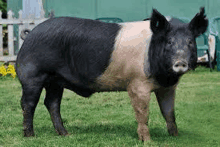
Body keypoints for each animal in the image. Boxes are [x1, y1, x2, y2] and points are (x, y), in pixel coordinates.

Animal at [15, 7, 208, 141]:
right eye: (168, 42)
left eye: (190, 42)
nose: (180, 62)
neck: (164, 76)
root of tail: (29, 35)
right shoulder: (137, 83)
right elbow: (143, 113)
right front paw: (148, 141)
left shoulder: (168, 88)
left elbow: (169, 112)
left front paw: (176, 137)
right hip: (32, 76)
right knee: (28, 103)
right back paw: (30, 136)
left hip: (56, 81)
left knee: (52, 103)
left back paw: (65, 134)